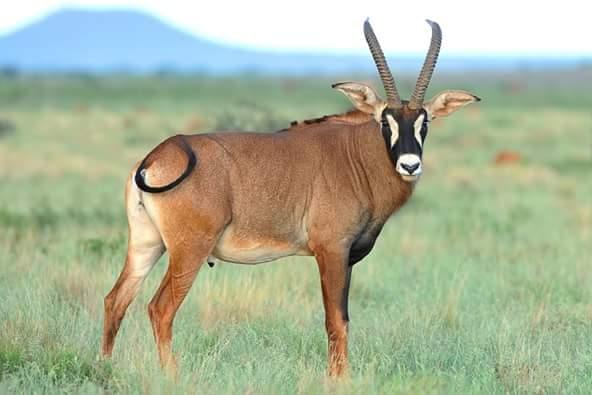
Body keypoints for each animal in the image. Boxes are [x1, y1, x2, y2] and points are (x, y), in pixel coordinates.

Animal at [102, 18, 480, 378]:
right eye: (386, 122)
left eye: (424, 121)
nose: (410, 164)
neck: (356, 157)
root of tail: (160, 154)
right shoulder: (331, 251)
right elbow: (336, 322)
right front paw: (338, 381)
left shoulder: (347, 259)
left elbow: (343, 320)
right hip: (189, 251)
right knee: (160, 309)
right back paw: (172, 376)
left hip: (147, 245)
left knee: (115, 300)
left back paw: (103, 367)